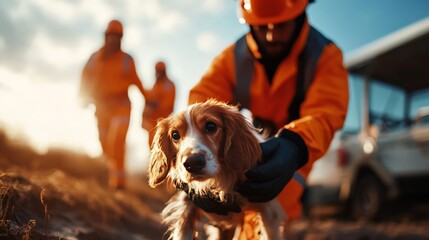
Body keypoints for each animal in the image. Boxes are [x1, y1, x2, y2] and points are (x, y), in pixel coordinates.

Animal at [147, 99, 284, 240]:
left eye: (211, 126)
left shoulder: (269, 213)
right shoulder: (187, 207)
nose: (193, 163)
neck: (219, 181)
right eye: (175, 135)